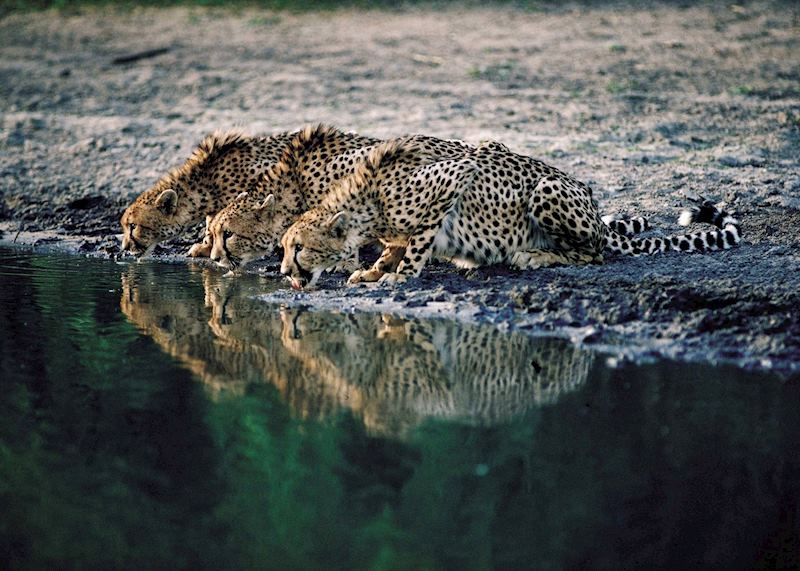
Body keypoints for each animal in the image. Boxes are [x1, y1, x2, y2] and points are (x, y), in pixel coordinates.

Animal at [280, 138, 741, 289]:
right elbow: (396, 245)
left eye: (298, 248)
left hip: (545, 189)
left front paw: (398, 276)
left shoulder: (456, 174)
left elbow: (417, 244)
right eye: (284, 246)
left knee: (592, 254)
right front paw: (374, 269)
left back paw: (531, 255)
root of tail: (595, 207)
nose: (283, 271)